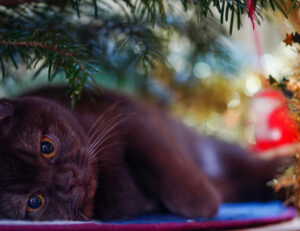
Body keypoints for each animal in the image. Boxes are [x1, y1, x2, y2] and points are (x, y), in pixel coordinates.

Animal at [0, 86, 282, 220]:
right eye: (34, 202)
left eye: (46, 147)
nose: (69, 180)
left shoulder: (133, 122)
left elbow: (182, 188)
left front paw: (207, 202)